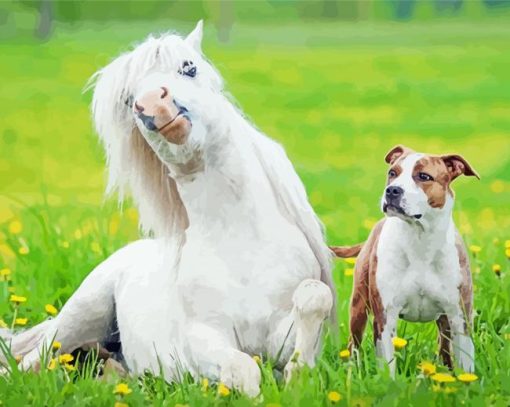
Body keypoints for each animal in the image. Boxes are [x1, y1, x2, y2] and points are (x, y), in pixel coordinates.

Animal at [9, 20, 336, 396]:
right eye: (128, 100)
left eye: (188, 67)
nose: (153, 104)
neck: (240, 245)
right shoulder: (202, 340)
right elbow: (242, 369)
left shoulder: (285, 331)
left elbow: (313, 301)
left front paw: (299, 378)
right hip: (79, 314)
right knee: (34, 360)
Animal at [330, 146, 478, 376]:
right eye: (392, 173)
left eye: (424, 176)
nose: (392, 190)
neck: (419, 239)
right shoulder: (385, 316)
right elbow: (387, 364)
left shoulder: (460, 317)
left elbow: (466, 362)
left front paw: (465, 383)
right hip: (358, 308)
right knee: (353, 345)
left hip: (445, 321)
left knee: (444, 348)